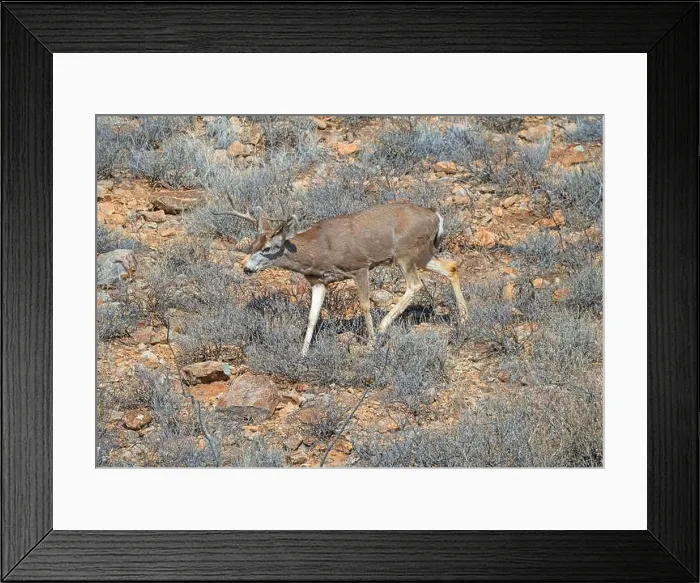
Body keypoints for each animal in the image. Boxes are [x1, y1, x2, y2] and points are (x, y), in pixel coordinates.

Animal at [224, 194, 468, 356]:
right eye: (252, 246)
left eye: (267, 249)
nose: (247, 269)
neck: (319, 250)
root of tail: (436, 215)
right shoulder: (319, 282)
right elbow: (312, 317)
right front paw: (302, 354)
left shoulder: (359, 266)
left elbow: (365, 305)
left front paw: (370, 342)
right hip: (422, 254)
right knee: (451, 267)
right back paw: (465, 319)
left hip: (406, 253)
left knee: (415, 286)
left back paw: (382, 328)